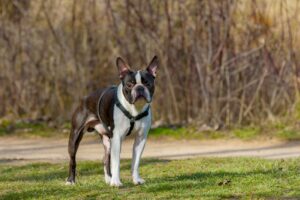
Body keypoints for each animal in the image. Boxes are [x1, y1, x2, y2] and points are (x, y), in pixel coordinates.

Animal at [66, 55, 159, 186]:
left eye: (147, 83)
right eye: (129, 84)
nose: (140, 88)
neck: (134, 110)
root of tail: (84, 99)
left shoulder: (140, 139)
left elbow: (135, 162)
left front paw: (136, 179)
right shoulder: (117, 137)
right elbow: (116, 162)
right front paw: (116, 182)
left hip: (107, 140)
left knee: (105, 158)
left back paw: (108, 179)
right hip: (75, 136)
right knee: (72, 159)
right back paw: (70, 180)